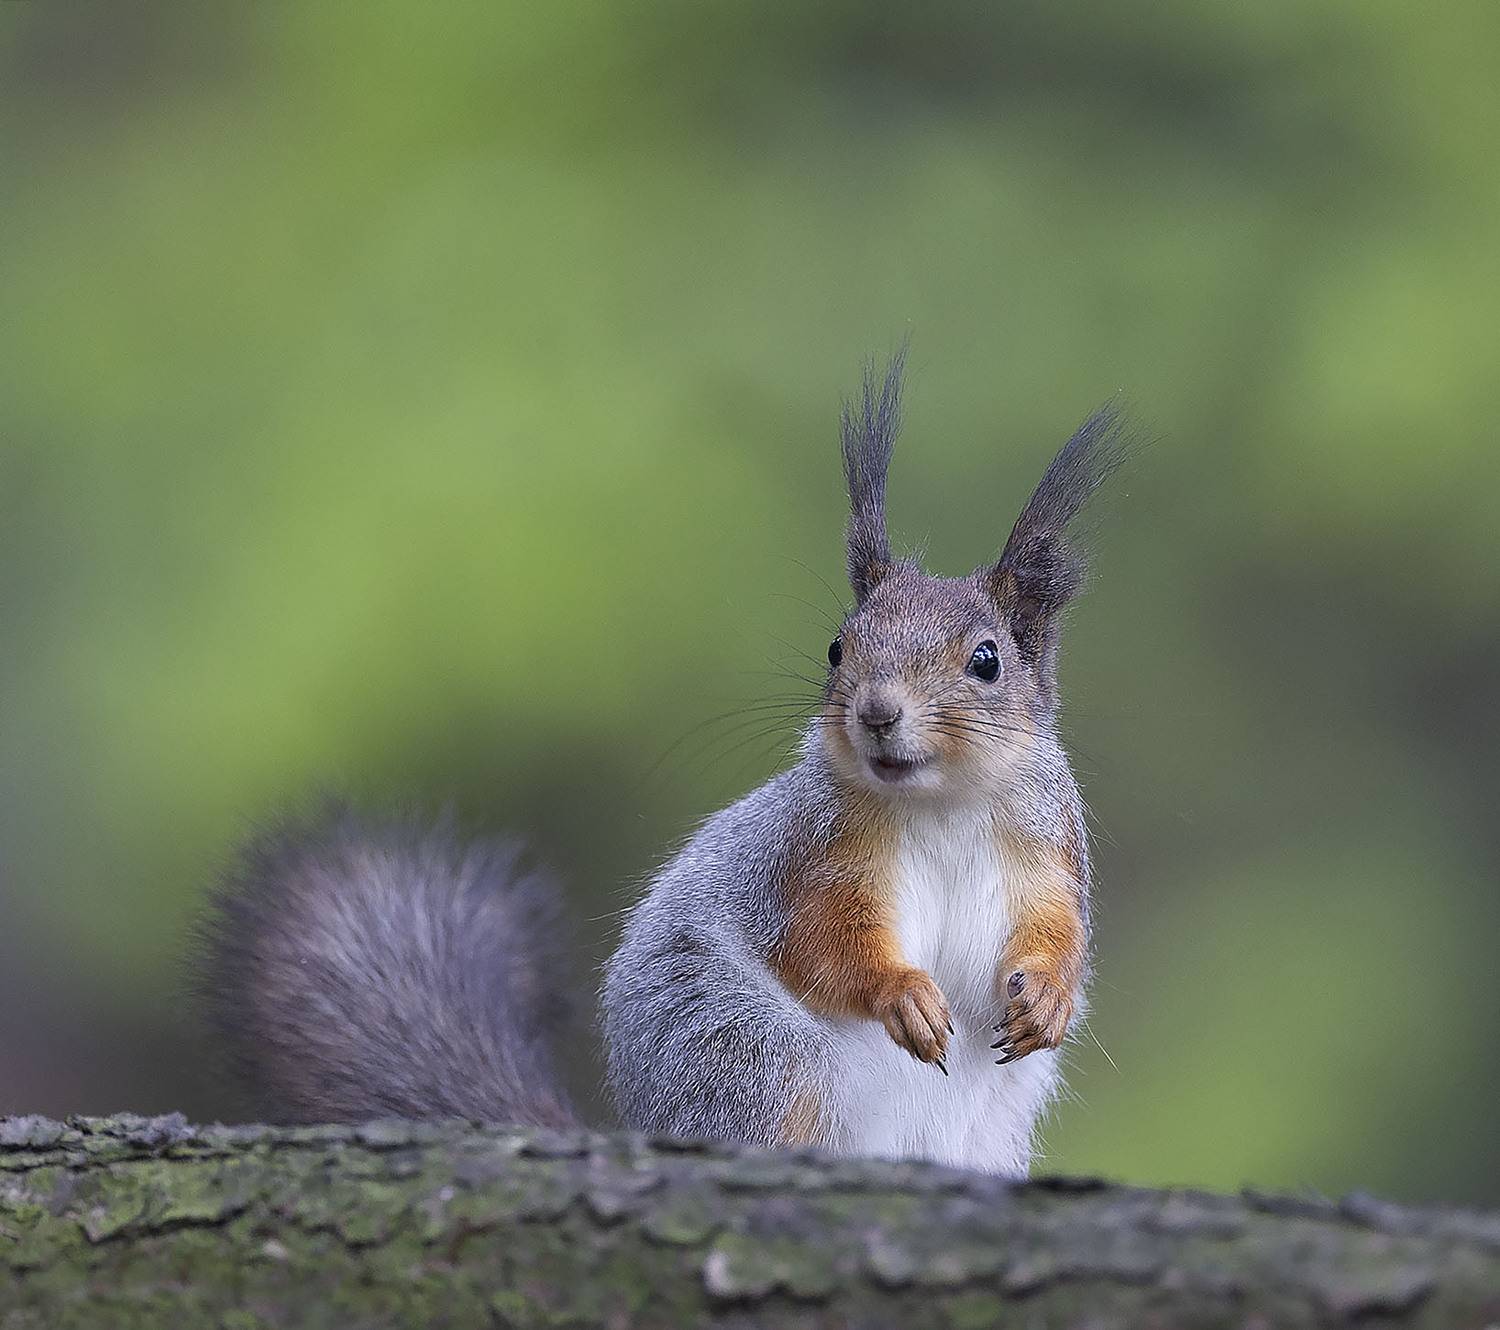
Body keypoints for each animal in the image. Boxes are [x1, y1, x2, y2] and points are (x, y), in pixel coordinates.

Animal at [198, 353, 1127, 1177]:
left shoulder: (1049, 852)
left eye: (987, 661)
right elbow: (823, 945)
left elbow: (1062, 934)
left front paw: (1047, 998)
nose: (876, 713)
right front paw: (903, 993)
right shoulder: (809, 858)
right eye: (837, 649)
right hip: (749, 1052)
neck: (941, 804)